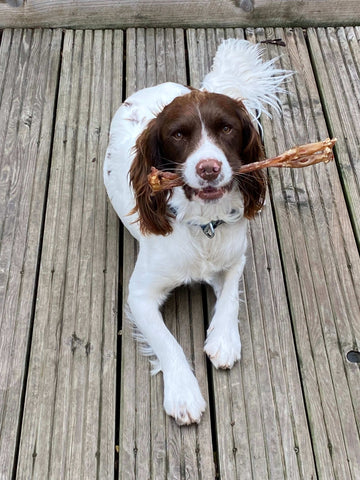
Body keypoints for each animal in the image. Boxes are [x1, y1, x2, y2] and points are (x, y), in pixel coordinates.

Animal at [104, 39, 290, 426]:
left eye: (227, 129)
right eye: (177, 134)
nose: (208, 168)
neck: (204, 223)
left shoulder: (236, 255)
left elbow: (230, 295)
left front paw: (224, 341)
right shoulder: (139, 294)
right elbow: (167, 342)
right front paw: (183, 393)